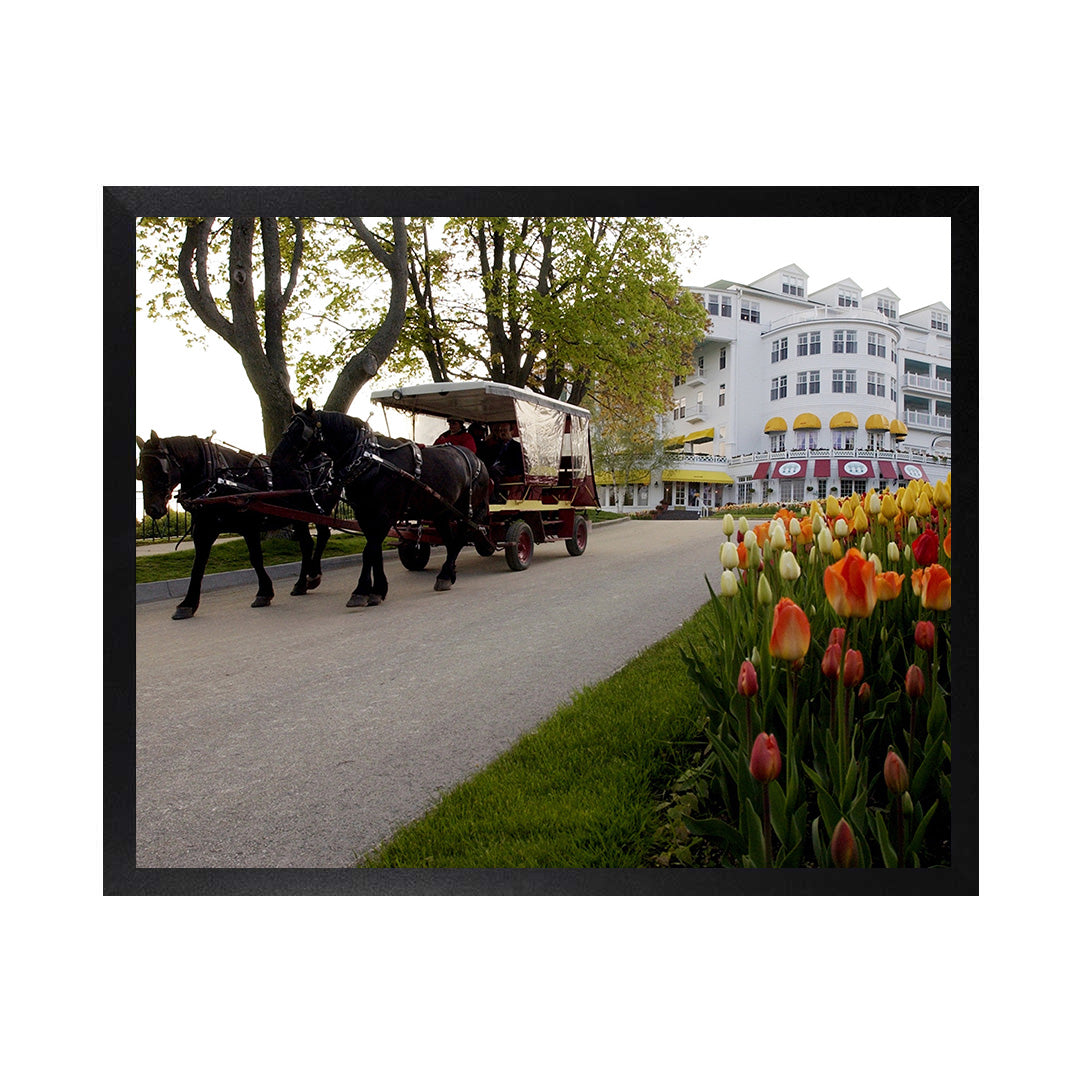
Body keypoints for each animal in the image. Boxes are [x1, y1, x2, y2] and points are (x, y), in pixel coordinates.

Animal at [137, 427, 334, 617]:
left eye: (161, 469)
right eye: (140, 472)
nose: (153, 509)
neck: (218, 477)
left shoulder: (250, 526)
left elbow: (256, 559)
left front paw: (264, 593)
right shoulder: (204, 528)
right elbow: (198, 565)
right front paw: (188, 604)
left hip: (316, 511)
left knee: (322, 536)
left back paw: (313, 576)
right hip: (298, 517)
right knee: (307, 544)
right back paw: (301, 584)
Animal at [270, 401, 494, 609]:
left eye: (300, 432)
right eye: (287, 430)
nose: (275, 462)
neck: (369, 460)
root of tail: (478, 461)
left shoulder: (384, 514)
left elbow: (369, 550)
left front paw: (362, 591)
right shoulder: (364, 514)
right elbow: (374, 549)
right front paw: (376, 589)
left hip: (469, 509)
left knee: (461, 537)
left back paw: (446, 574)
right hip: (441, 511)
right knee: (451, 540)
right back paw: (448, 573)